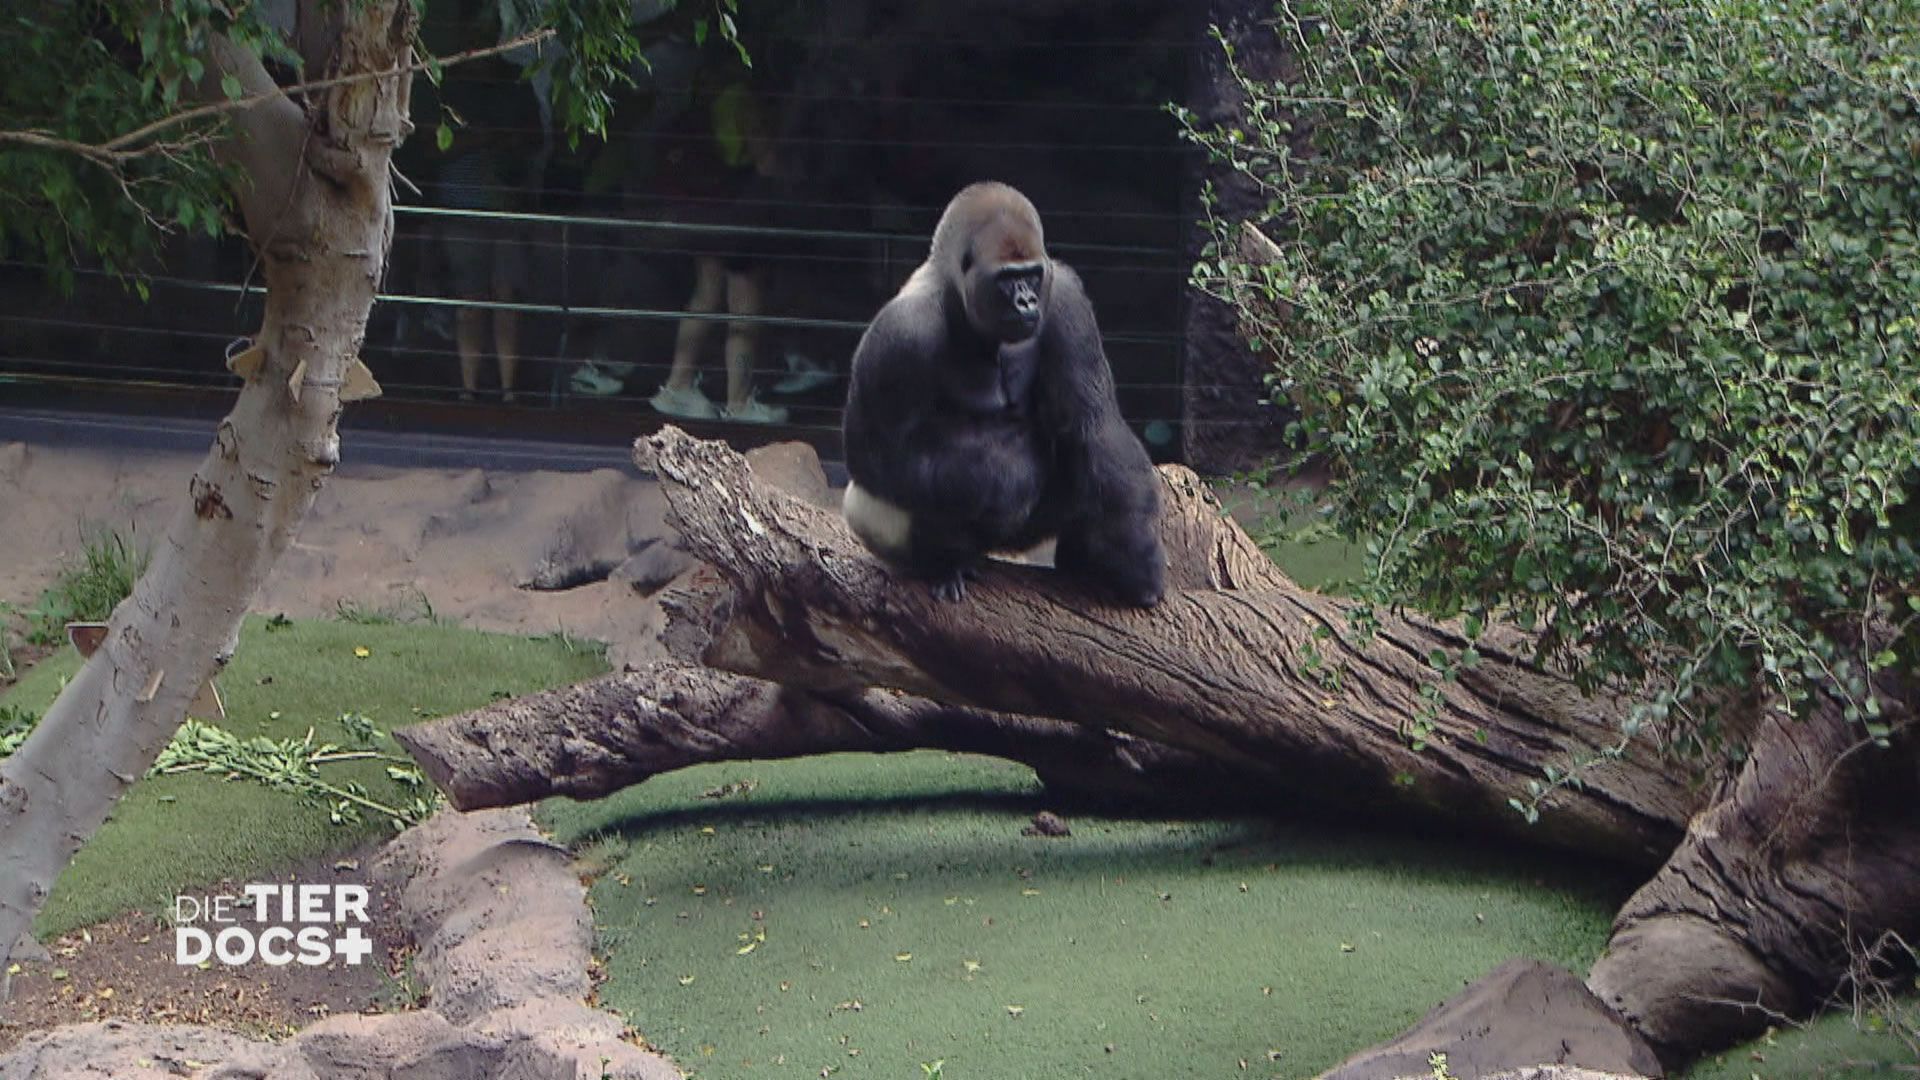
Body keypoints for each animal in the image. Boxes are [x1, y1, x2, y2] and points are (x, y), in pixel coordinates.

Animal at [840, 181, 1166, 608]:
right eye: (1007, 279)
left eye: (1032, 274)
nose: (1026, 302)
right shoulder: (898, 335)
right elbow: (876, 455)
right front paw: (1009, 476)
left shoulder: (1066, 298)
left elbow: (1093, 427)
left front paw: (1137, 558)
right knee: (876, 502)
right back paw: (944, 563)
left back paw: (1083, 558)